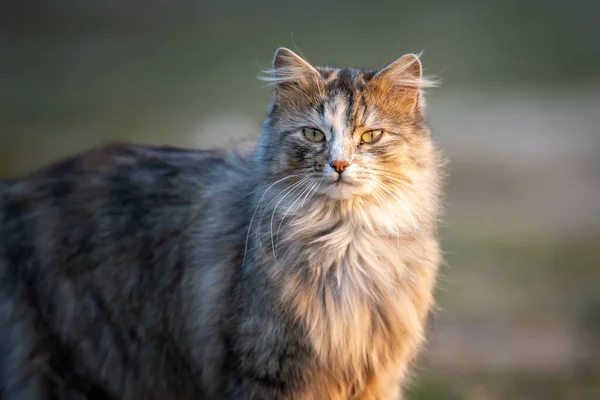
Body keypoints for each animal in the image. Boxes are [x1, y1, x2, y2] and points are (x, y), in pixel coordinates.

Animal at [0, 48, 446, 398]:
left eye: (371, 136)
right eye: (314, 135)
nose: (338, 165)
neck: (345, 242)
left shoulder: (376, 375)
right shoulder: (267, 364)